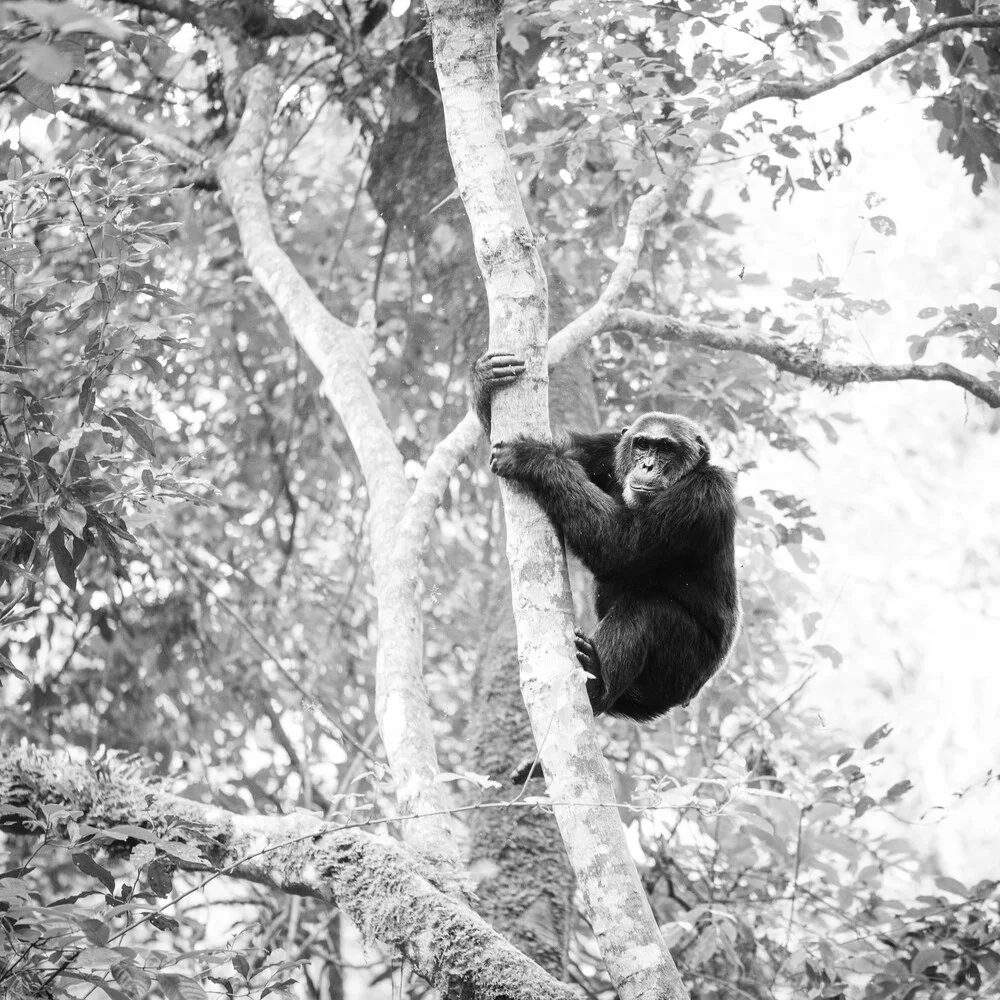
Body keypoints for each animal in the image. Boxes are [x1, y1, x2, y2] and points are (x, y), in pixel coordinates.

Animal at [472, 352, 740, 752]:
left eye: (666, 449)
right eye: (642, 445)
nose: (647, 464)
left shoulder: (706, 496)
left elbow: (622, 545)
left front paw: (535, 457)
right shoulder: (607, 446)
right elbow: (567, 447)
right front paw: (484, 377)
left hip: (682, 670)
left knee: (645, 611)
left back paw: (596, 680)